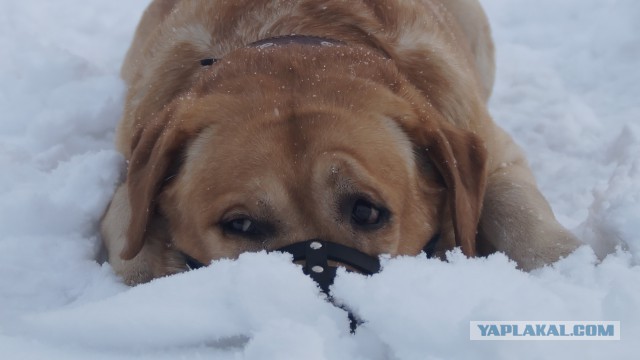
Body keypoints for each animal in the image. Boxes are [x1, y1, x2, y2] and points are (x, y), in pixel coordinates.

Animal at [100, 0, 580, 286]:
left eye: (366, 211)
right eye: (240, 225)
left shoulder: (491, 150)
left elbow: (520, 215)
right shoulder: (128, 184)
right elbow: (132, 250)